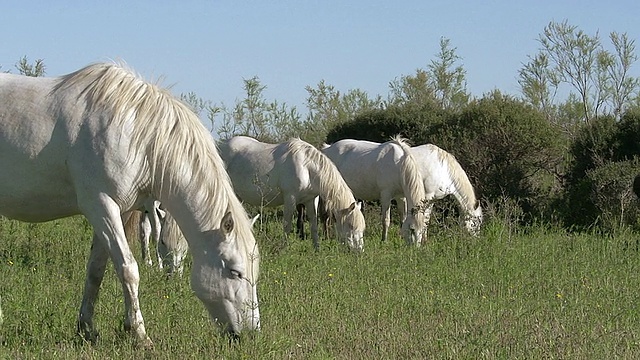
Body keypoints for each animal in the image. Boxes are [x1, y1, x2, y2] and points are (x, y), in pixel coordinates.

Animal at [0, 63, 260, 348]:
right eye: (235, 272)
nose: (251, 331)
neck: (137, 135)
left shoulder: (118, 212)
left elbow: (96, 271)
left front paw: (86, 328)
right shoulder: (101, 205)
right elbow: (128, 269)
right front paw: (138, 333)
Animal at [219, 136, 364, 252]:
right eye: (351, 225)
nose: (359, 251)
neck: (306, 168)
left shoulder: (311, 201)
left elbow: (314, 225)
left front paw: (317, 249)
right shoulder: (290, 198)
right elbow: (287, 225)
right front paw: (284, 249)